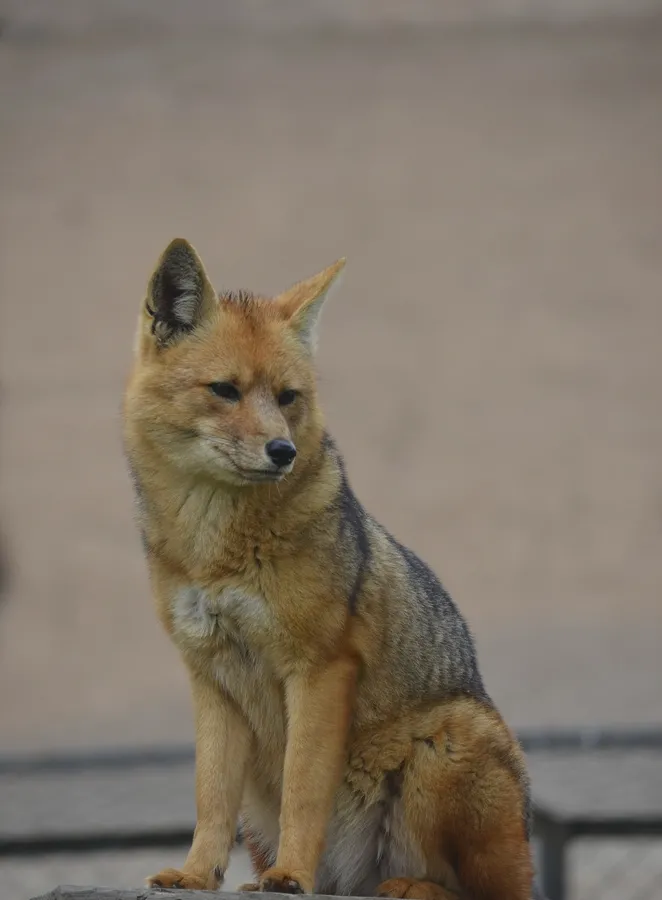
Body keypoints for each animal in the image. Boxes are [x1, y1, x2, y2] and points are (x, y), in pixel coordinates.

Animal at [122, 239, 538, 900]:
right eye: (225, 390)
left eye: (287, 397)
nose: (283, 452)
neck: (216, 551)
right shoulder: (210, 677)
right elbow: (209, 796)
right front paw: (194, 874)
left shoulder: (319, 669)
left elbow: (303, 789)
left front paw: (292, 874)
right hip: (263, 810)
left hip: (445, 740)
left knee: (488, 891)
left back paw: (404, 886)